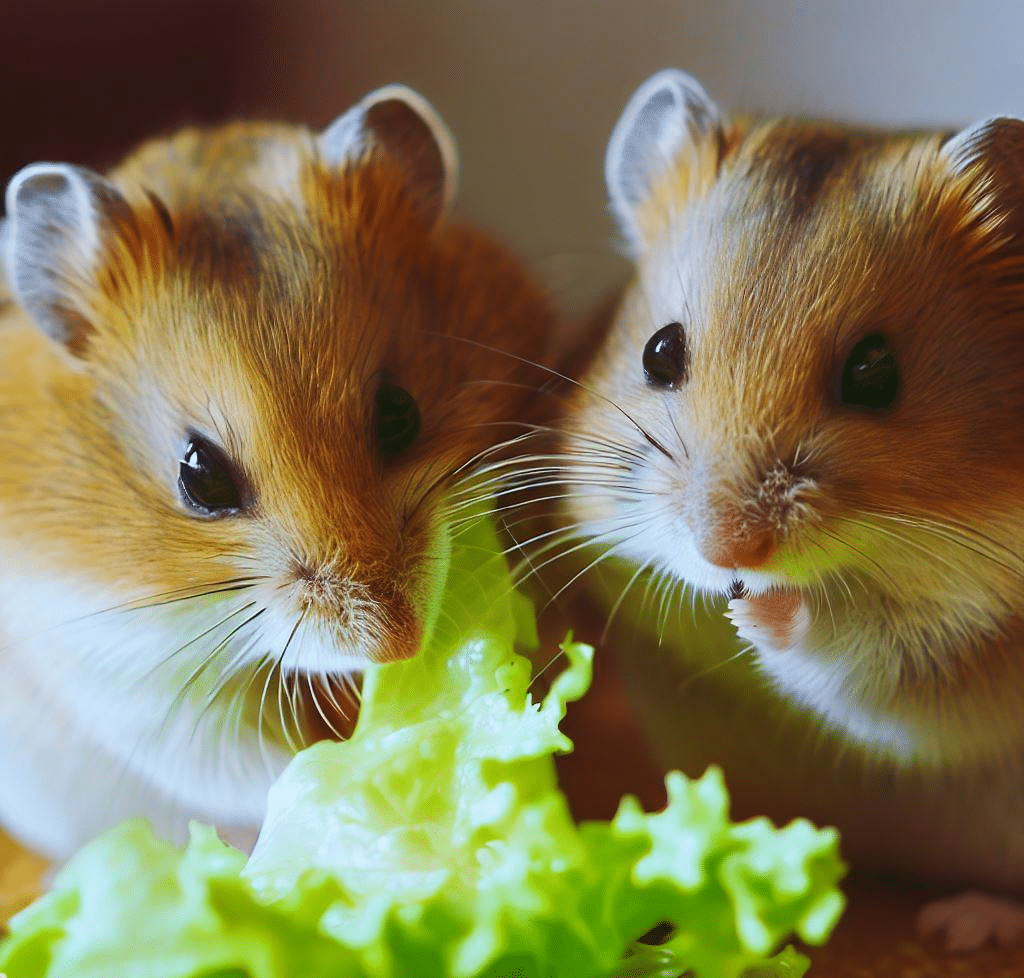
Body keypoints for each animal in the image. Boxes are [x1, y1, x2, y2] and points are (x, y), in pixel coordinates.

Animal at [0, 88, 557, 860]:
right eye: (200, 478)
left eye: (400, 414)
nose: (398, 646)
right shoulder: (130, 686)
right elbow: (258, 766)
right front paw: (367, 778)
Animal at [561, 72, 1024, 950]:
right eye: (659, 350)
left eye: (876, 373)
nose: (726, 553)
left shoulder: (951, 662)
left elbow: (855, 652)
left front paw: (758, 611)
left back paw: (959, 925)